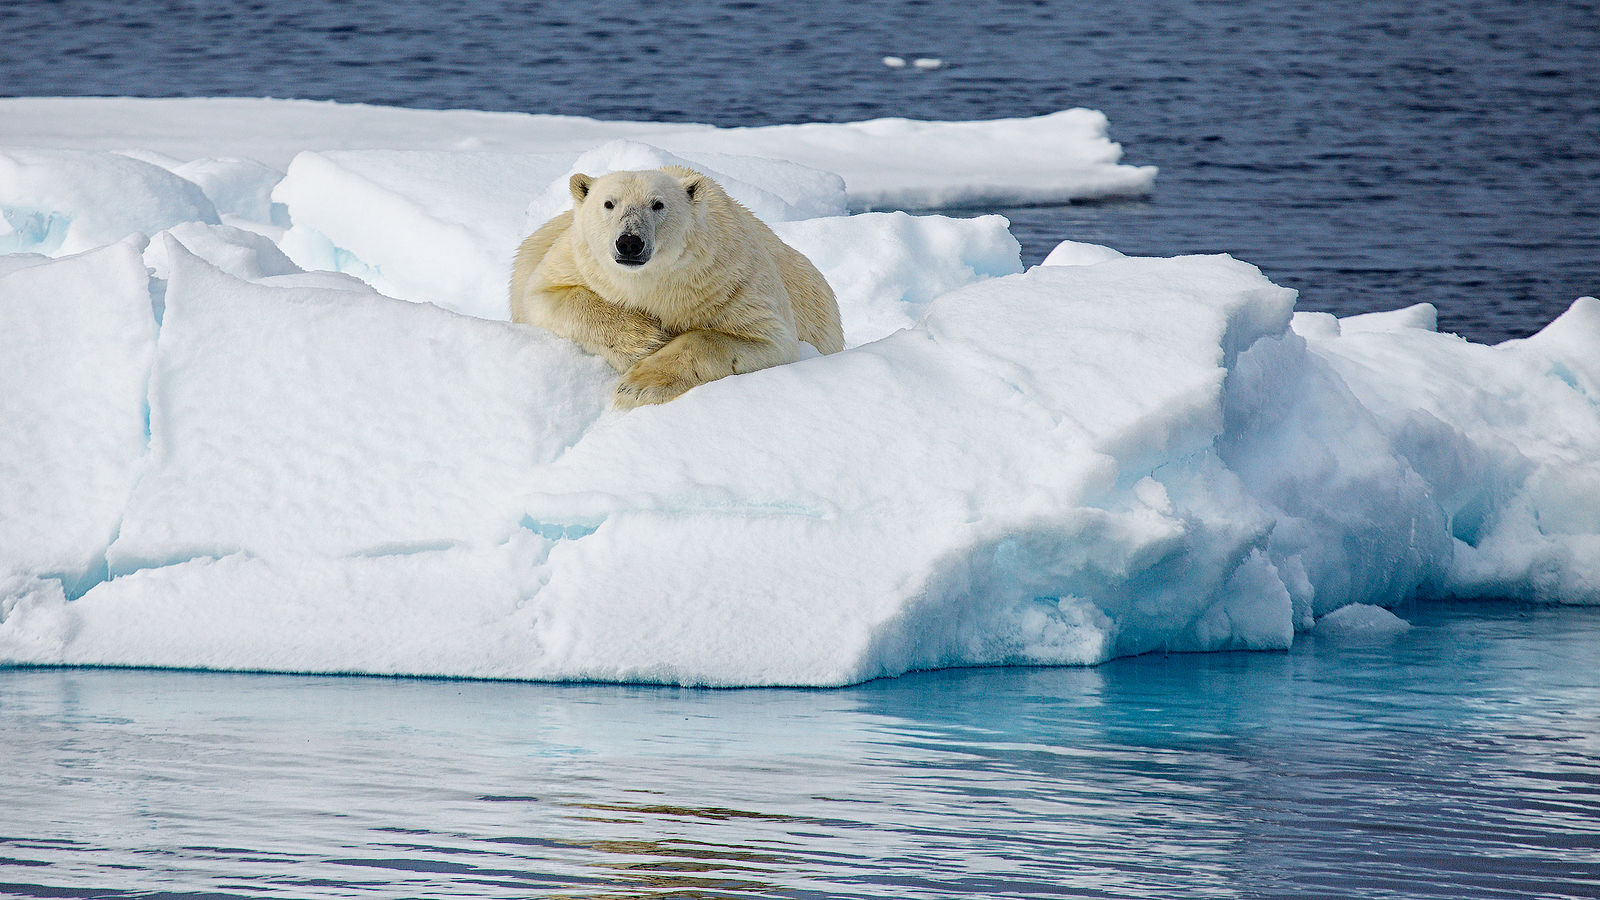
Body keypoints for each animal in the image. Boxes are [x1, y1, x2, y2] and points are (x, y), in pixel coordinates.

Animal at [512, 165, 844, 406]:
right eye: (609, 203)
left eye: (658, 204)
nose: (629, 242)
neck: (656, 282)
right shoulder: (575, 262)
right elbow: (544, 296)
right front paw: (644, 339)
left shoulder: (730, 282)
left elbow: (765, 338)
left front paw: (637, 386)